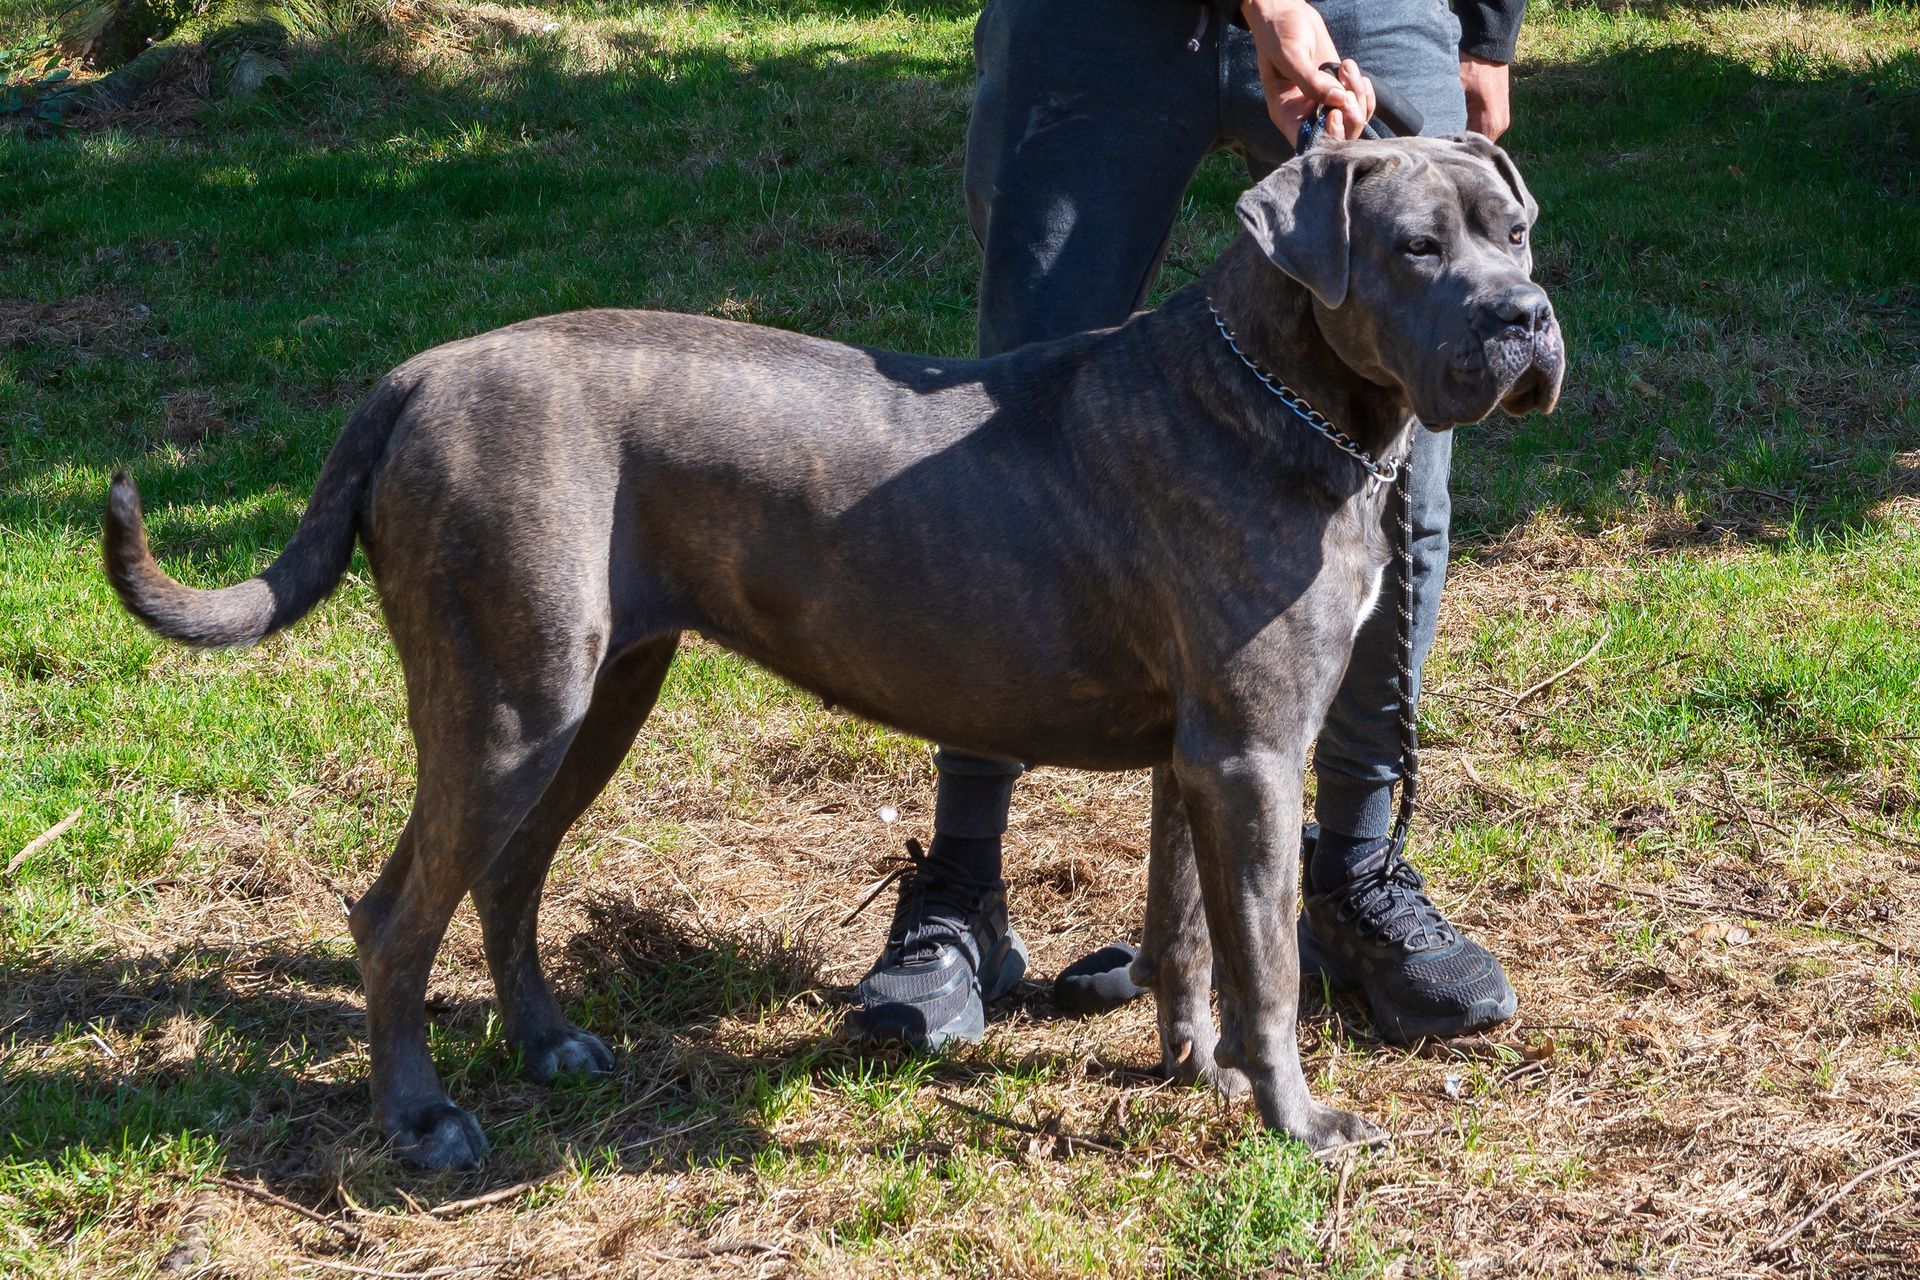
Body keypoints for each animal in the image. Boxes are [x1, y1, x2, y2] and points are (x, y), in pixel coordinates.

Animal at [108, 135, 1559, 1166]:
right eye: (1415, 247)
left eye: (1517, 233)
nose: (1526, 319)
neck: (1282, 392)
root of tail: (415, 375)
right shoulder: (1253, 752)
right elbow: (1264, 961)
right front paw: (1299, 1121)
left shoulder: (1199, 756)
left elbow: (1193, 932)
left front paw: (1189, 1065)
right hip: (509, 704)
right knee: (395, 914)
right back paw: (421, 1122)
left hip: (595, 697)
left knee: (507, 877)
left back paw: (549, 1046)